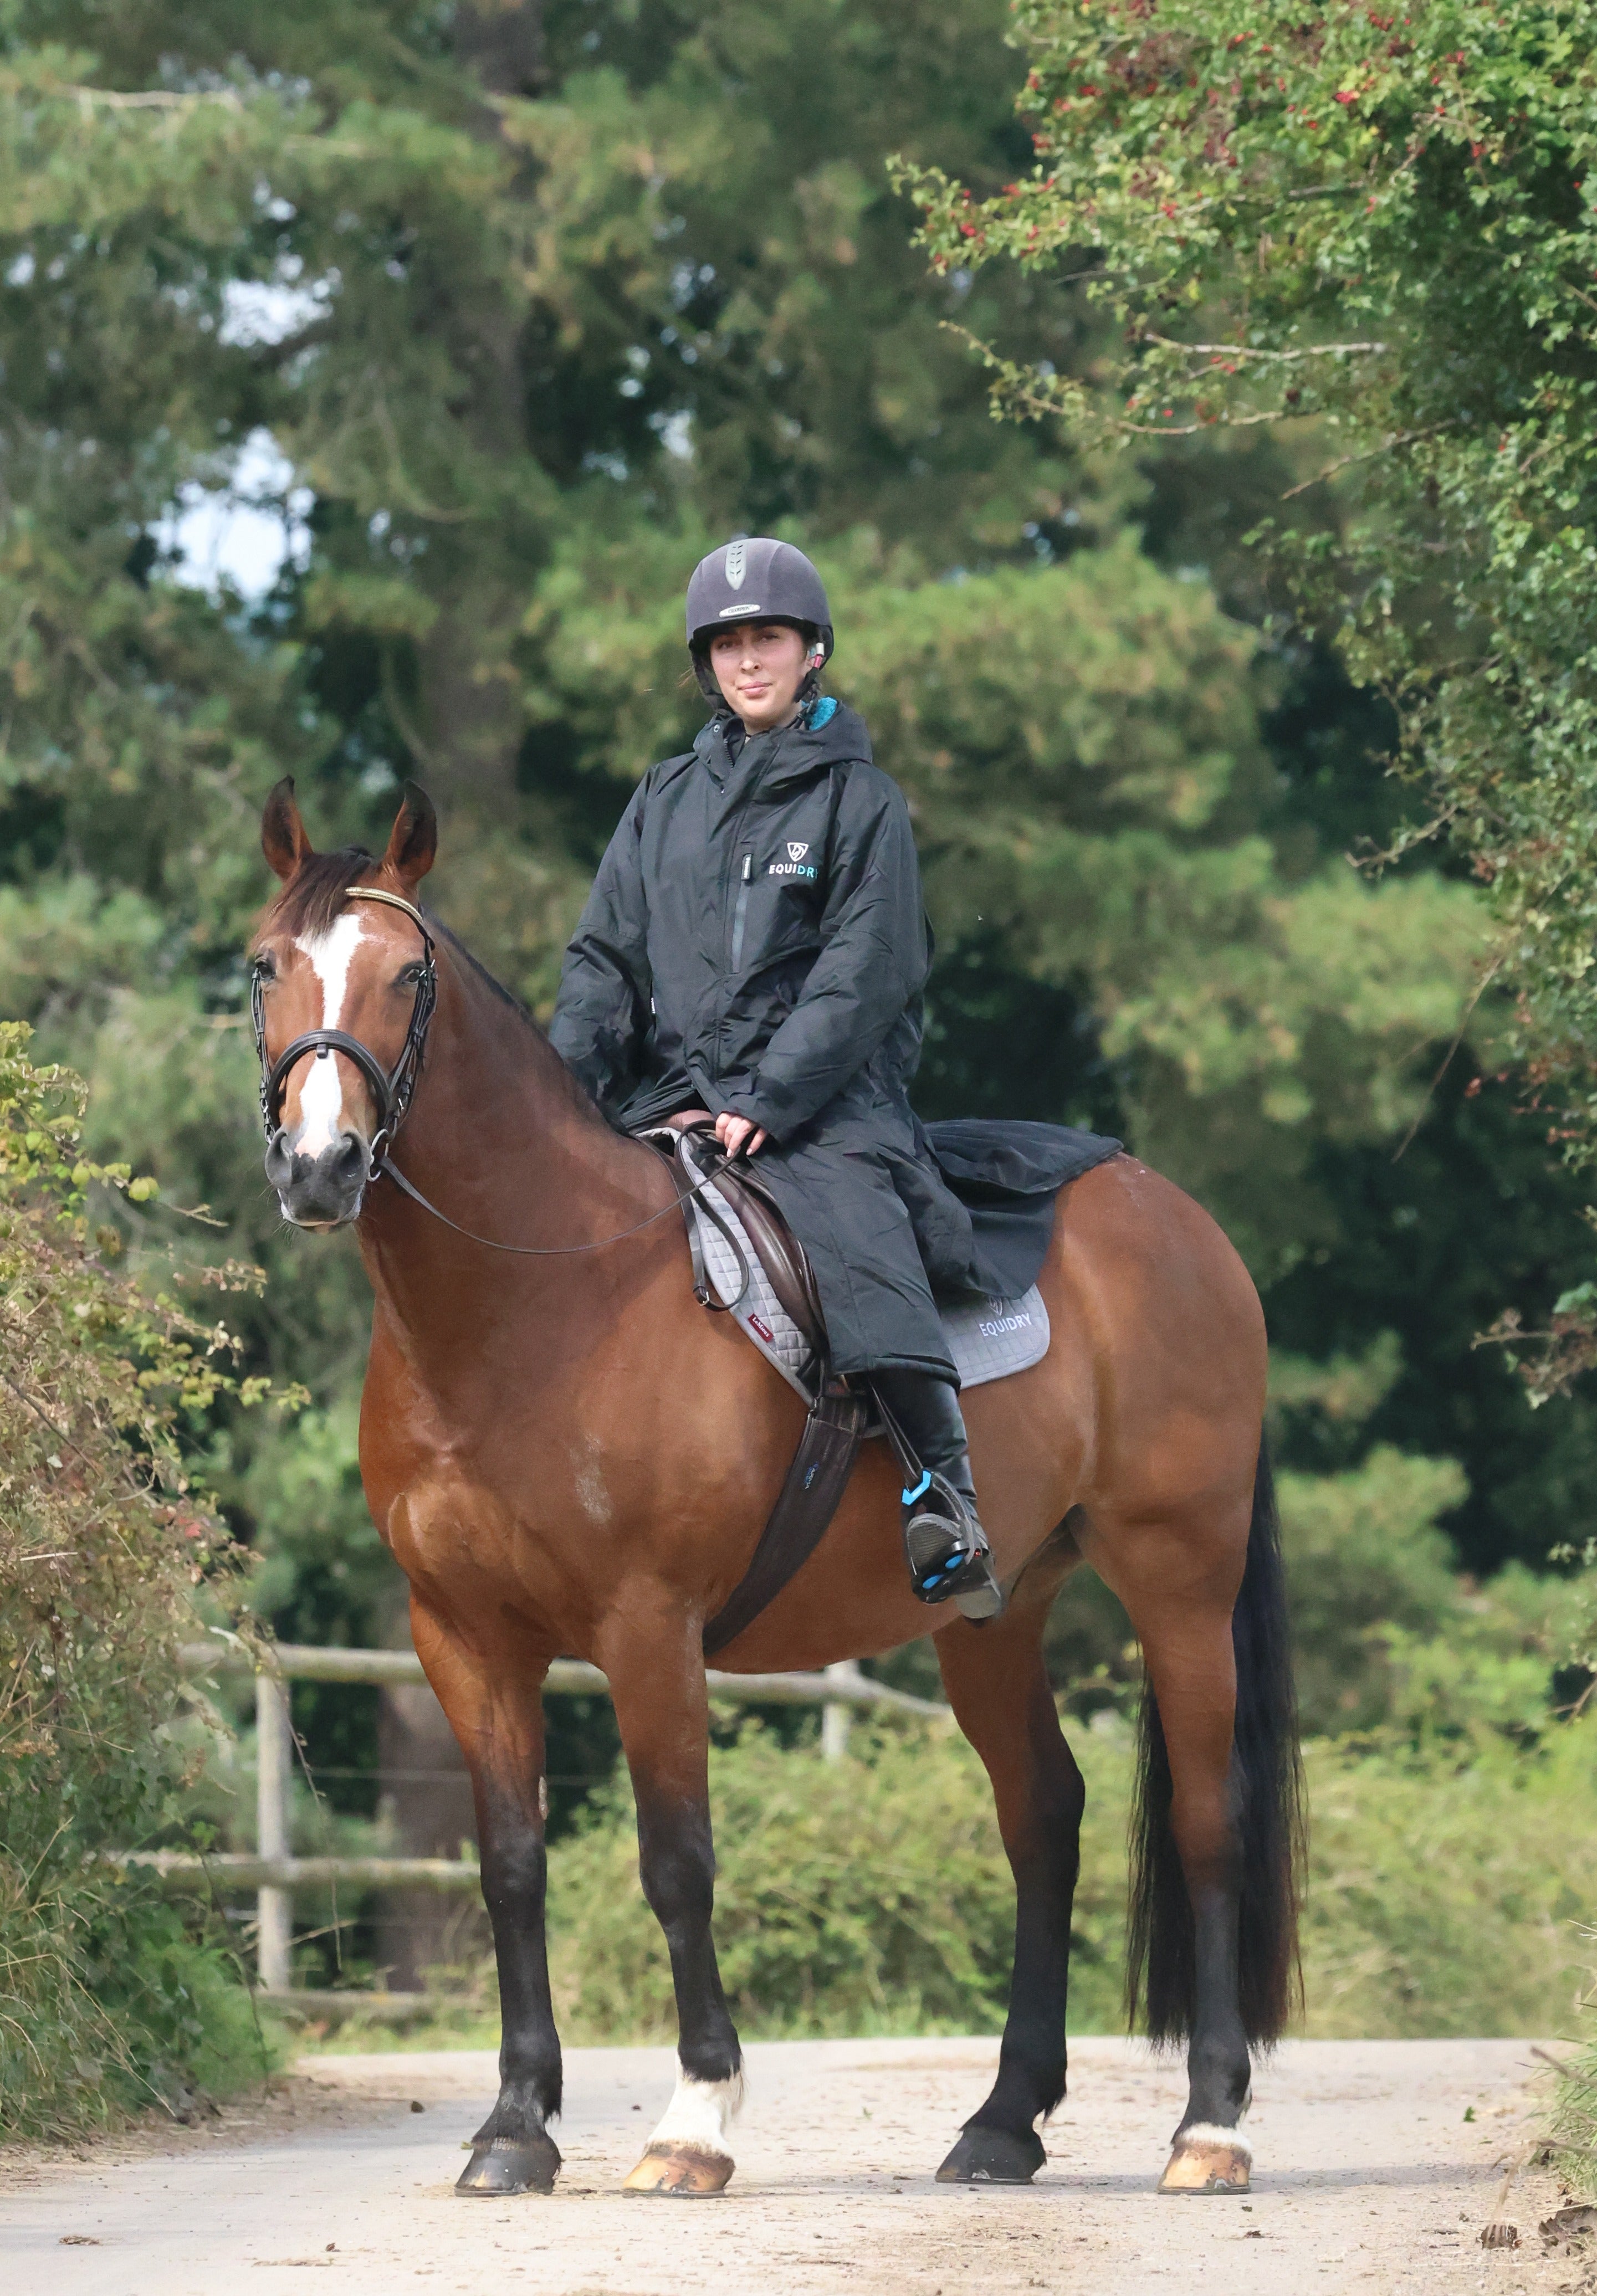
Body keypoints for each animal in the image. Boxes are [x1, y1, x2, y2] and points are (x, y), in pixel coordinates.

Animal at [250, 777, 1301, 2202]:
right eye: (266, 964)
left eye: (406, 976)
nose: (318, 1165)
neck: (539, 1294)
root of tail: (1180, 1223)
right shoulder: (462, 1638)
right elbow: (510, 1867)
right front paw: (514, 2127)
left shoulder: (648, 1629)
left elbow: (675, 1859)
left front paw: (693, 2120)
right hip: (994, 1614)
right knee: (1043, 1819)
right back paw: (1000, 2122)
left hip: (1178, 1577)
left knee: (1204, 1820)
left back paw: (1208, 2126)